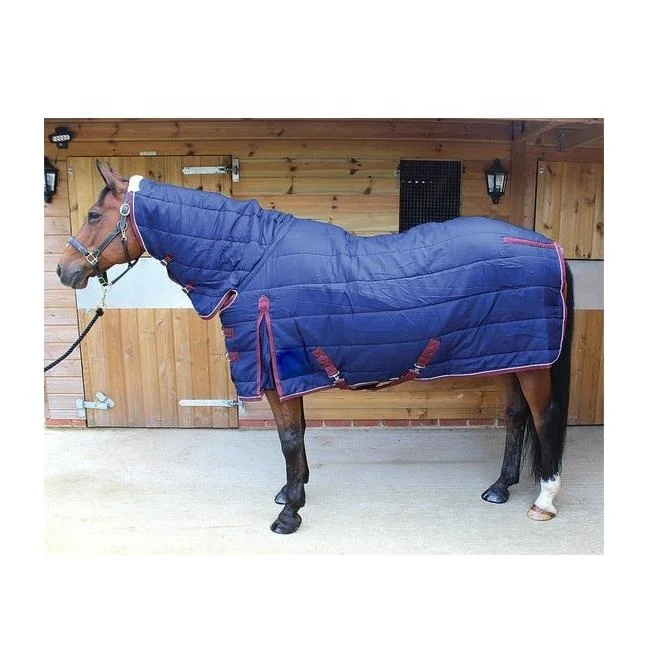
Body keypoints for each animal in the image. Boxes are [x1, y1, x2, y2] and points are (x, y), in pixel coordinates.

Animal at [56, 160, 574, 535]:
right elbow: (300, 435)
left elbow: (288, 438)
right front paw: (293, 492)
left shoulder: (277, 371)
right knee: (516, 416)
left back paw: (543, 501)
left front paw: (289, 514)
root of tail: (550, 246)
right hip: (510, 355)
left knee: (544, 417)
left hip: (532, 363)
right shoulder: (290, 368)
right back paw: (500, 487)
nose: (65, 271)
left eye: (95, 216)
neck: (247, 261)